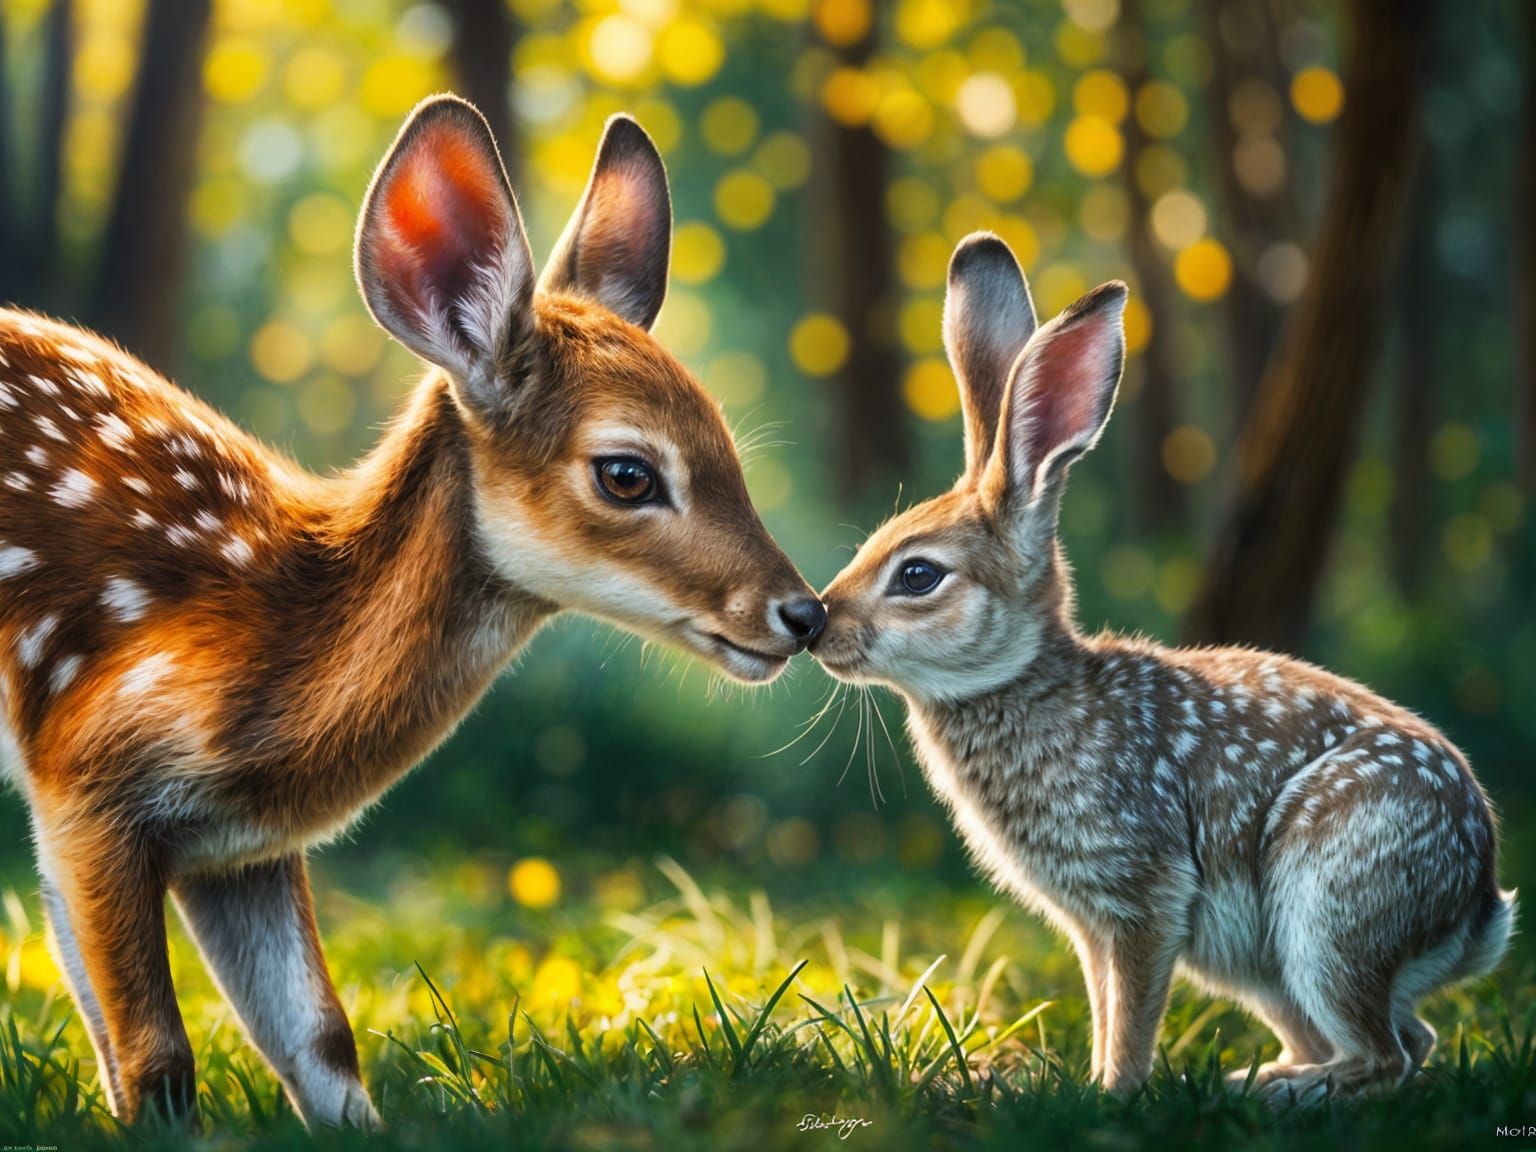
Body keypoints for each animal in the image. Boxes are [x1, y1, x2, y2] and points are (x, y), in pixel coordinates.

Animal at [0, 95, 826, 1129]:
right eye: (628, 473)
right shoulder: (85, 769)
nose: (803, 614)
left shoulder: (232, 849)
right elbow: (156, 1058)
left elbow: (319, 1039)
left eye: (727, 444)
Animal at [810, 230, 1515, 1102]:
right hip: (1270, 968)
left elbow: (1133, 1012)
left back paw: (1268, 1091)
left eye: (917, 575)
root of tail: (1479, 905)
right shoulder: (1093, 924)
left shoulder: (1146, 896)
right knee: (1407, 1041)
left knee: (1386, 1052)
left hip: (1328, 912)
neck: (1022, 684)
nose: (817, 625)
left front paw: (1114, 1093)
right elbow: (1107, 1004)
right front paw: (1097, 1086)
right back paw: (1264, 1076)